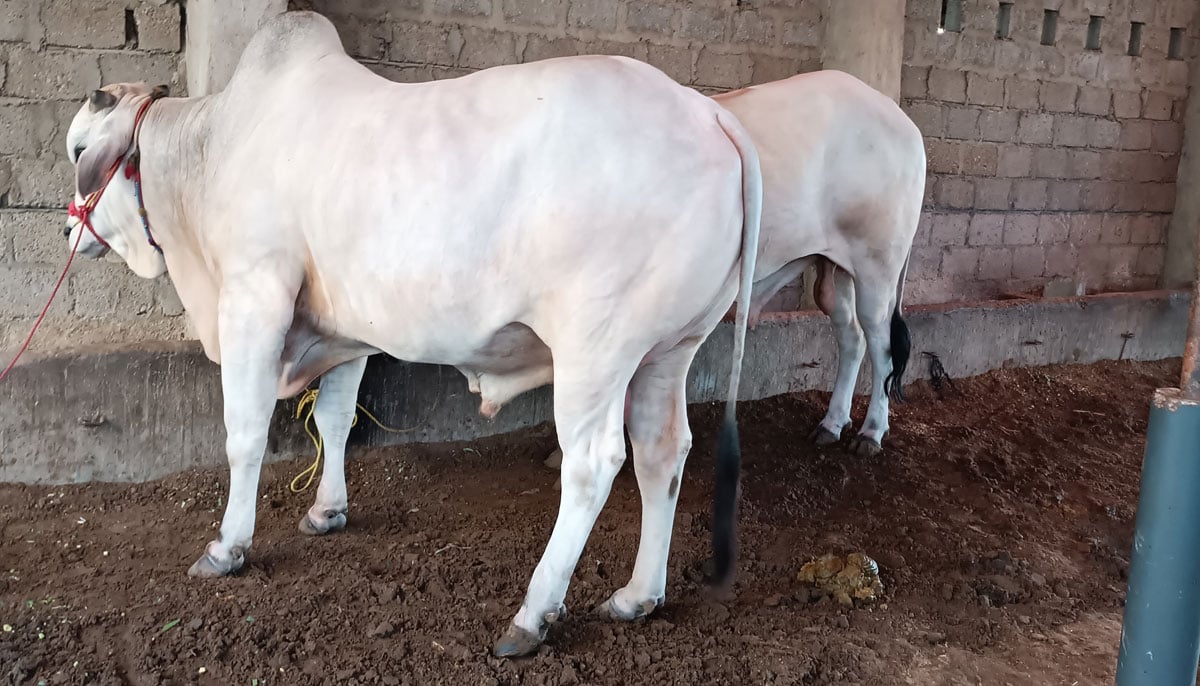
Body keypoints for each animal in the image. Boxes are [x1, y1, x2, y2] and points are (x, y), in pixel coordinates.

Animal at [58, 9, 758, 652]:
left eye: (77, 151)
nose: (68, 230)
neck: (213, 149)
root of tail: (706, 112)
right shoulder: (343, 330)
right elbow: (335, 420)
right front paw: (326, 511)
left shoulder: (254, 298)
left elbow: (244, 432)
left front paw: (228, 546)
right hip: (671, 348)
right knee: (662, 451)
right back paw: (638, 596)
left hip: (598, 347)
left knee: (593, 463)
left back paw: (532, 615)